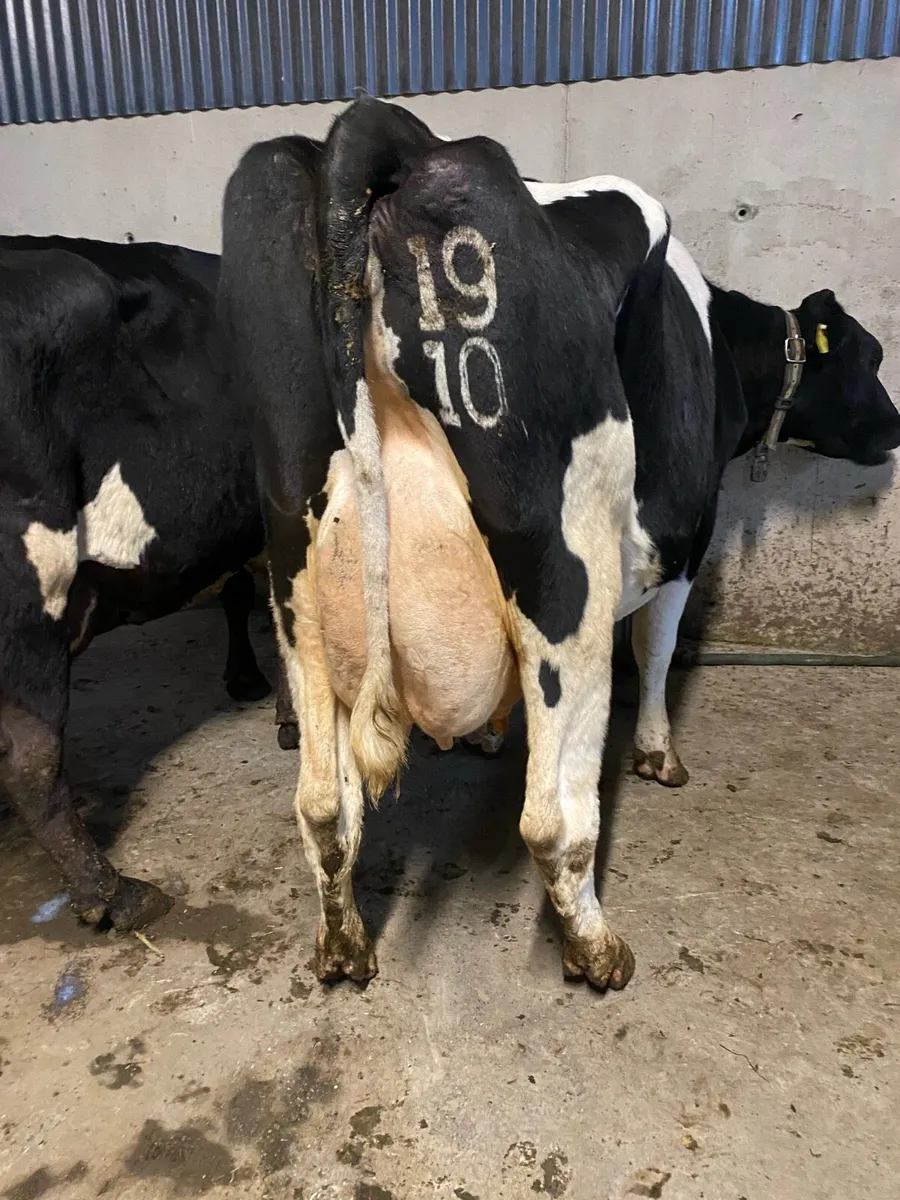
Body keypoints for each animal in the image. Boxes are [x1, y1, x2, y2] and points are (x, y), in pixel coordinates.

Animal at [219, 98, 900, 990]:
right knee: (551, 818)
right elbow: (656, 651)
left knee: (324, 806)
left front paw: (484, 734)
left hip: (295, 578)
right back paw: (598, 948)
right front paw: (658, 753)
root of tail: (388, 134)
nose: (897, 428)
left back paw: (343, 945)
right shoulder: (687, 543)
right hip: (562, 570)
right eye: (869, 355)